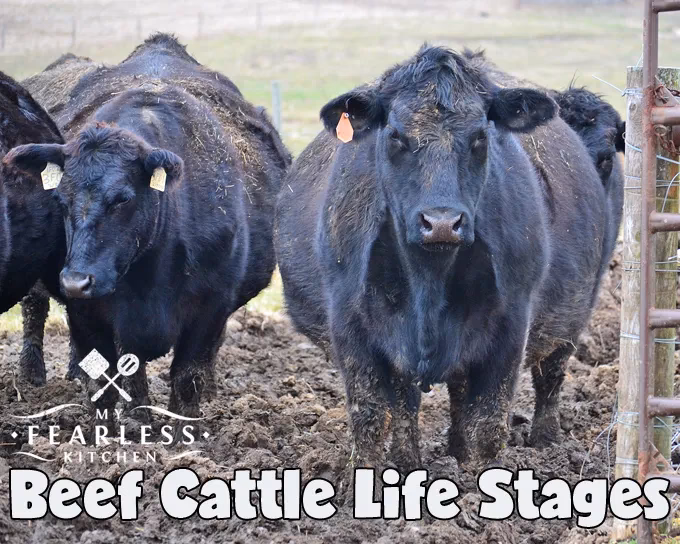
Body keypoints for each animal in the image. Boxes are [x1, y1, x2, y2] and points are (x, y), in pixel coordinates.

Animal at [4, 34, 290, 426]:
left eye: (123, 199)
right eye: (60, 199)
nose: (76, 282)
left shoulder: (211, 306)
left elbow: (188, 376)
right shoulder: (90, 312)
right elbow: (110, 373)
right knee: (36, 309)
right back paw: (35, 377)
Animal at [275, 46, 621, 469]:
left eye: (480, 136)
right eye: (395, 136)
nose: (441, 223)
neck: (429, 279)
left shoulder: (510, 327)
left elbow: (489, 424)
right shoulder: (350, 326)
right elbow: (370, 418)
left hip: (574, 311)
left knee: (549, 376)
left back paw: (541, 441)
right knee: (411, 403)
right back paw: (414, 459)